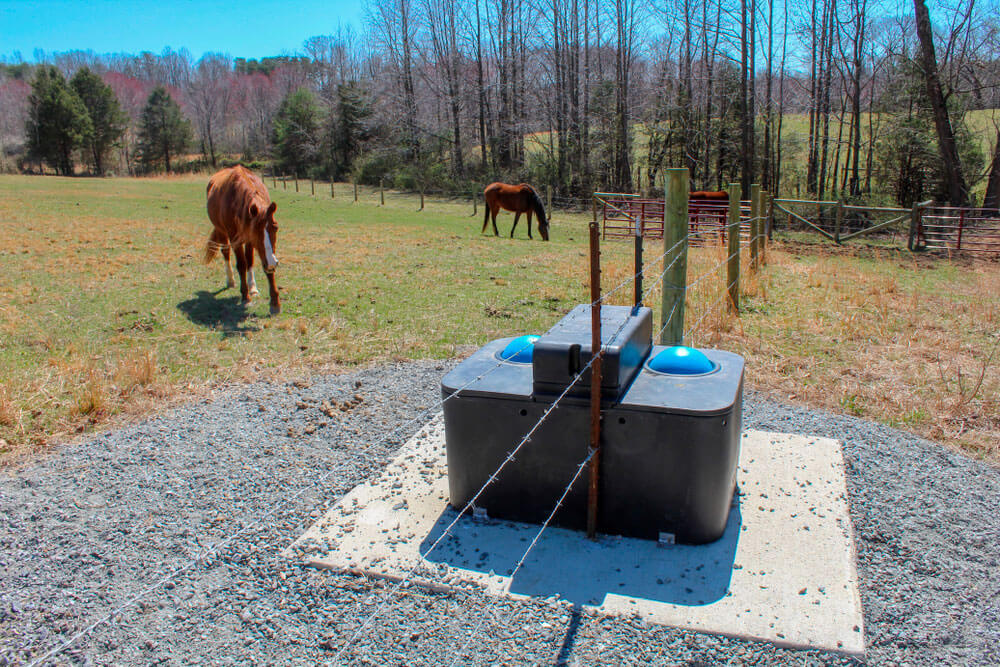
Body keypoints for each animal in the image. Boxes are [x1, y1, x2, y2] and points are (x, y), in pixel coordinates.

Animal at [204, 166, 280, 314]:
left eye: (276, 227)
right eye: (255, 230)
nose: (272, 262)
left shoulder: (251, 240)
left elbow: (255, 263)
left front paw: (274, 302)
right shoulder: (236, 239)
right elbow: (241, 265)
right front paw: (245, 297)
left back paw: (252, 287)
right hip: (222, 232)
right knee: (226, 253)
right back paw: (231, 281)